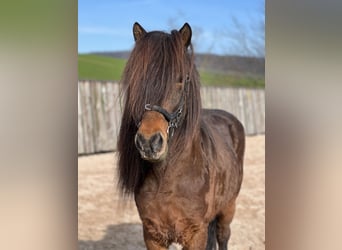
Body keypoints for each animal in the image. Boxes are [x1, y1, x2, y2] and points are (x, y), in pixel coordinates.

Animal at [116, 22, 244, 249]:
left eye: (181, 79)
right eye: (137, 78)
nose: (148, 142)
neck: (168, 179)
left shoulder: (196, 234)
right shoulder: (152, 234)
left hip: (228, 207)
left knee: (223, 236)